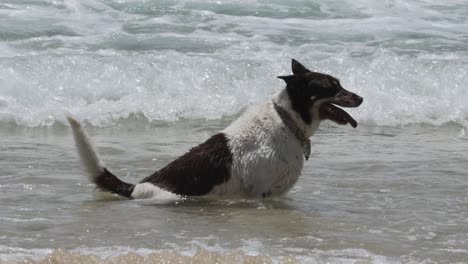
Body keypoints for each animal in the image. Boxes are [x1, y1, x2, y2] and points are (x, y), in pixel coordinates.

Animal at [67, 59, 364, 199]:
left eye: (340, 84)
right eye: (332, 87)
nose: (361, 98)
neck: (287, 120)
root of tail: (135, 187)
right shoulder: (261, 194)